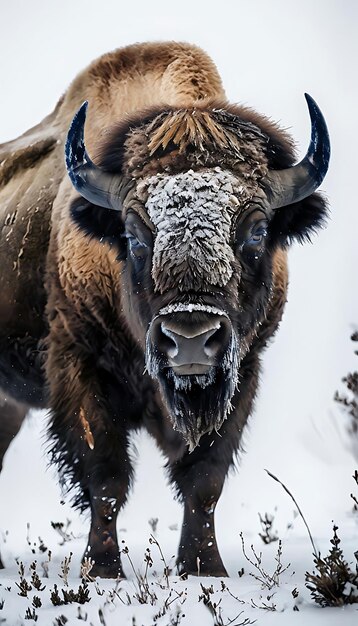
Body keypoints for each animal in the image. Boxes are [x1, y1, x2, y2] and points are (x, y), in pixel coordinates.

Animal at [0, 40, 330, 576]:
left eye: (258, 229)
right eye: (133, 233)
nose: (190, 339)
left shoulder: (242, 373)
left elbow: (204, 481)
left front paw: (205, 568)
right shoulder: (79, 365)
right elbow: (106, 478)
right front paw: (102, 571)